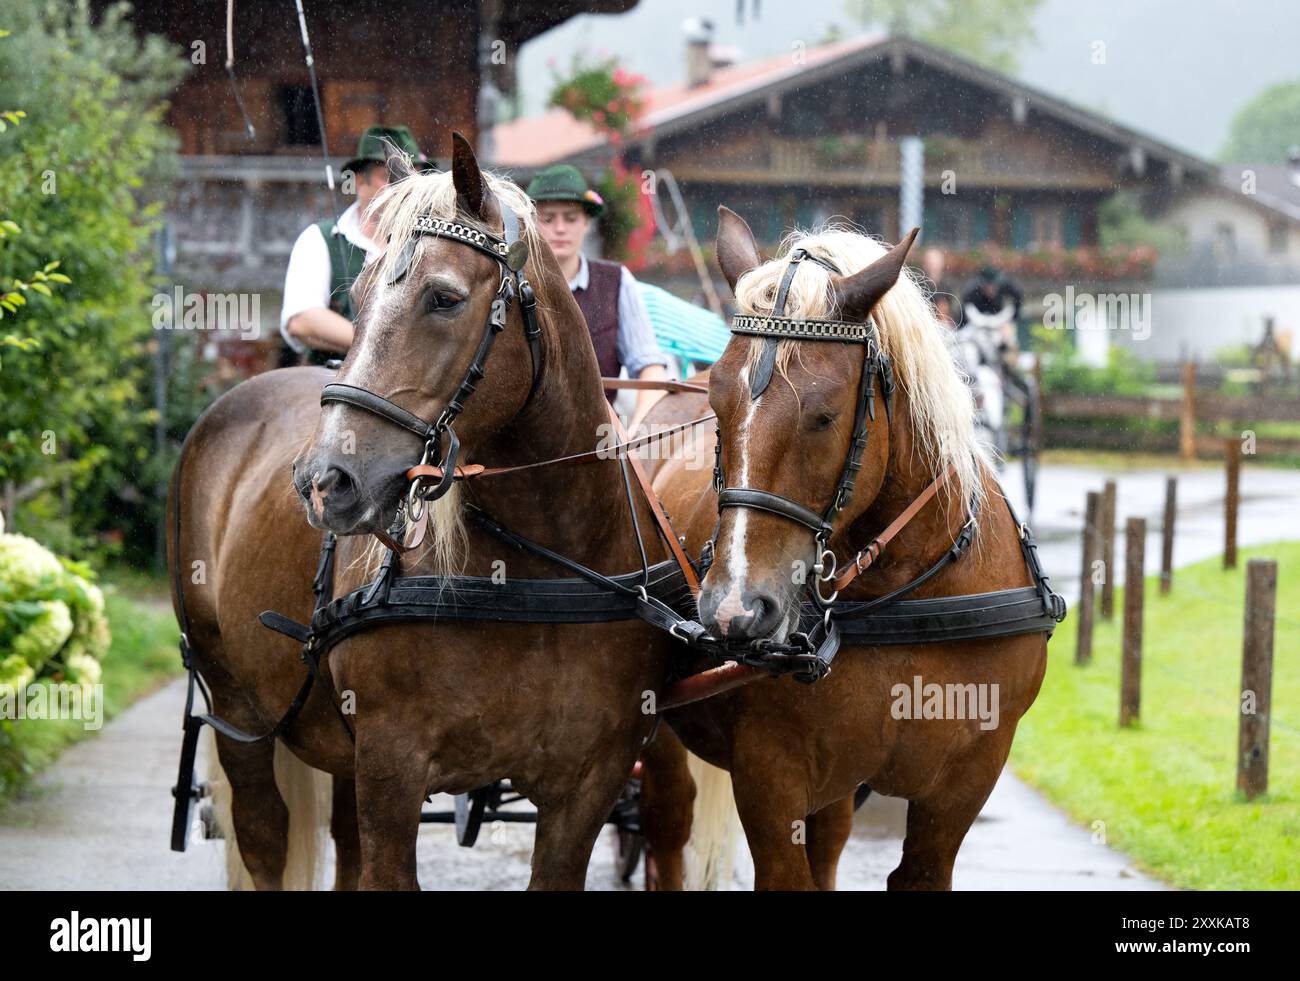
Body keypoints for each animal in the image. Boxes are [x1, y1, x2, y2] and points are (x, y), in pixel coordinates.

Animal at [172, 136, 702, 888]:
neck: (535, 572)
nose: (324, 479)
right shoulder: (391, 768)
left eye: (444, 298)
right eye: (358, 297)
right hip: (237, 704)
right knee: (265, 834)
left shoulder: (586, 786)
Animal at [650, 210, 1055, 893]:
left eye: (824, 415)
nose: (734, 609)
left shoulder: (966, 779)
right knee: (667, 827)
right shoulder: (770, 775)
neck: (902, 595)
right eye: (717, 404)